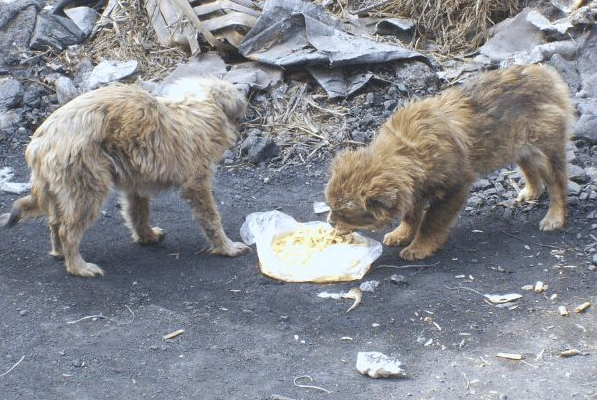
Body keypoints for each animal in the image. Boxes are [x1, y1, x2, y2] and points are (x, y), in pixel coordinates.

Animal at [1, 76, 250, 276]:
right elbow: (210, 216)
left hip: (60, 187)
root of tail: (40, 143)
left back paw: (59, 253)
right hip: (86, 183)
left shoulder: (136, 180)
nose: (247, 89)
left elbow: (138, 211)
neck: (194, 107)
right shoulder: (196, 181)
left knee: (55, 221)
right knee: (67, 230)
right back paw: (78, 266)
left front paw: (146, 236)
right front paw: (226, 246)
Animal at [326, 64, 576, 260]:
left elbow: (431, 223)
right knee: (530, 169)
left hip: (546, 149)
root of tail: (549, 76)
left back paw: (553, 218)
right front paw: (402, 234)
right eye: (330, 206)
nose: (329, 222)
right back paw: (531, 192)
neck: (407, 149)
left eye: (346, 214)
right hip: (516, 146)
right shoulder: (416, 188)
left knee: (558, 184)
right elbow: (411, 214)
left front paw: (418, 247)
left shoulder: (453, 189)